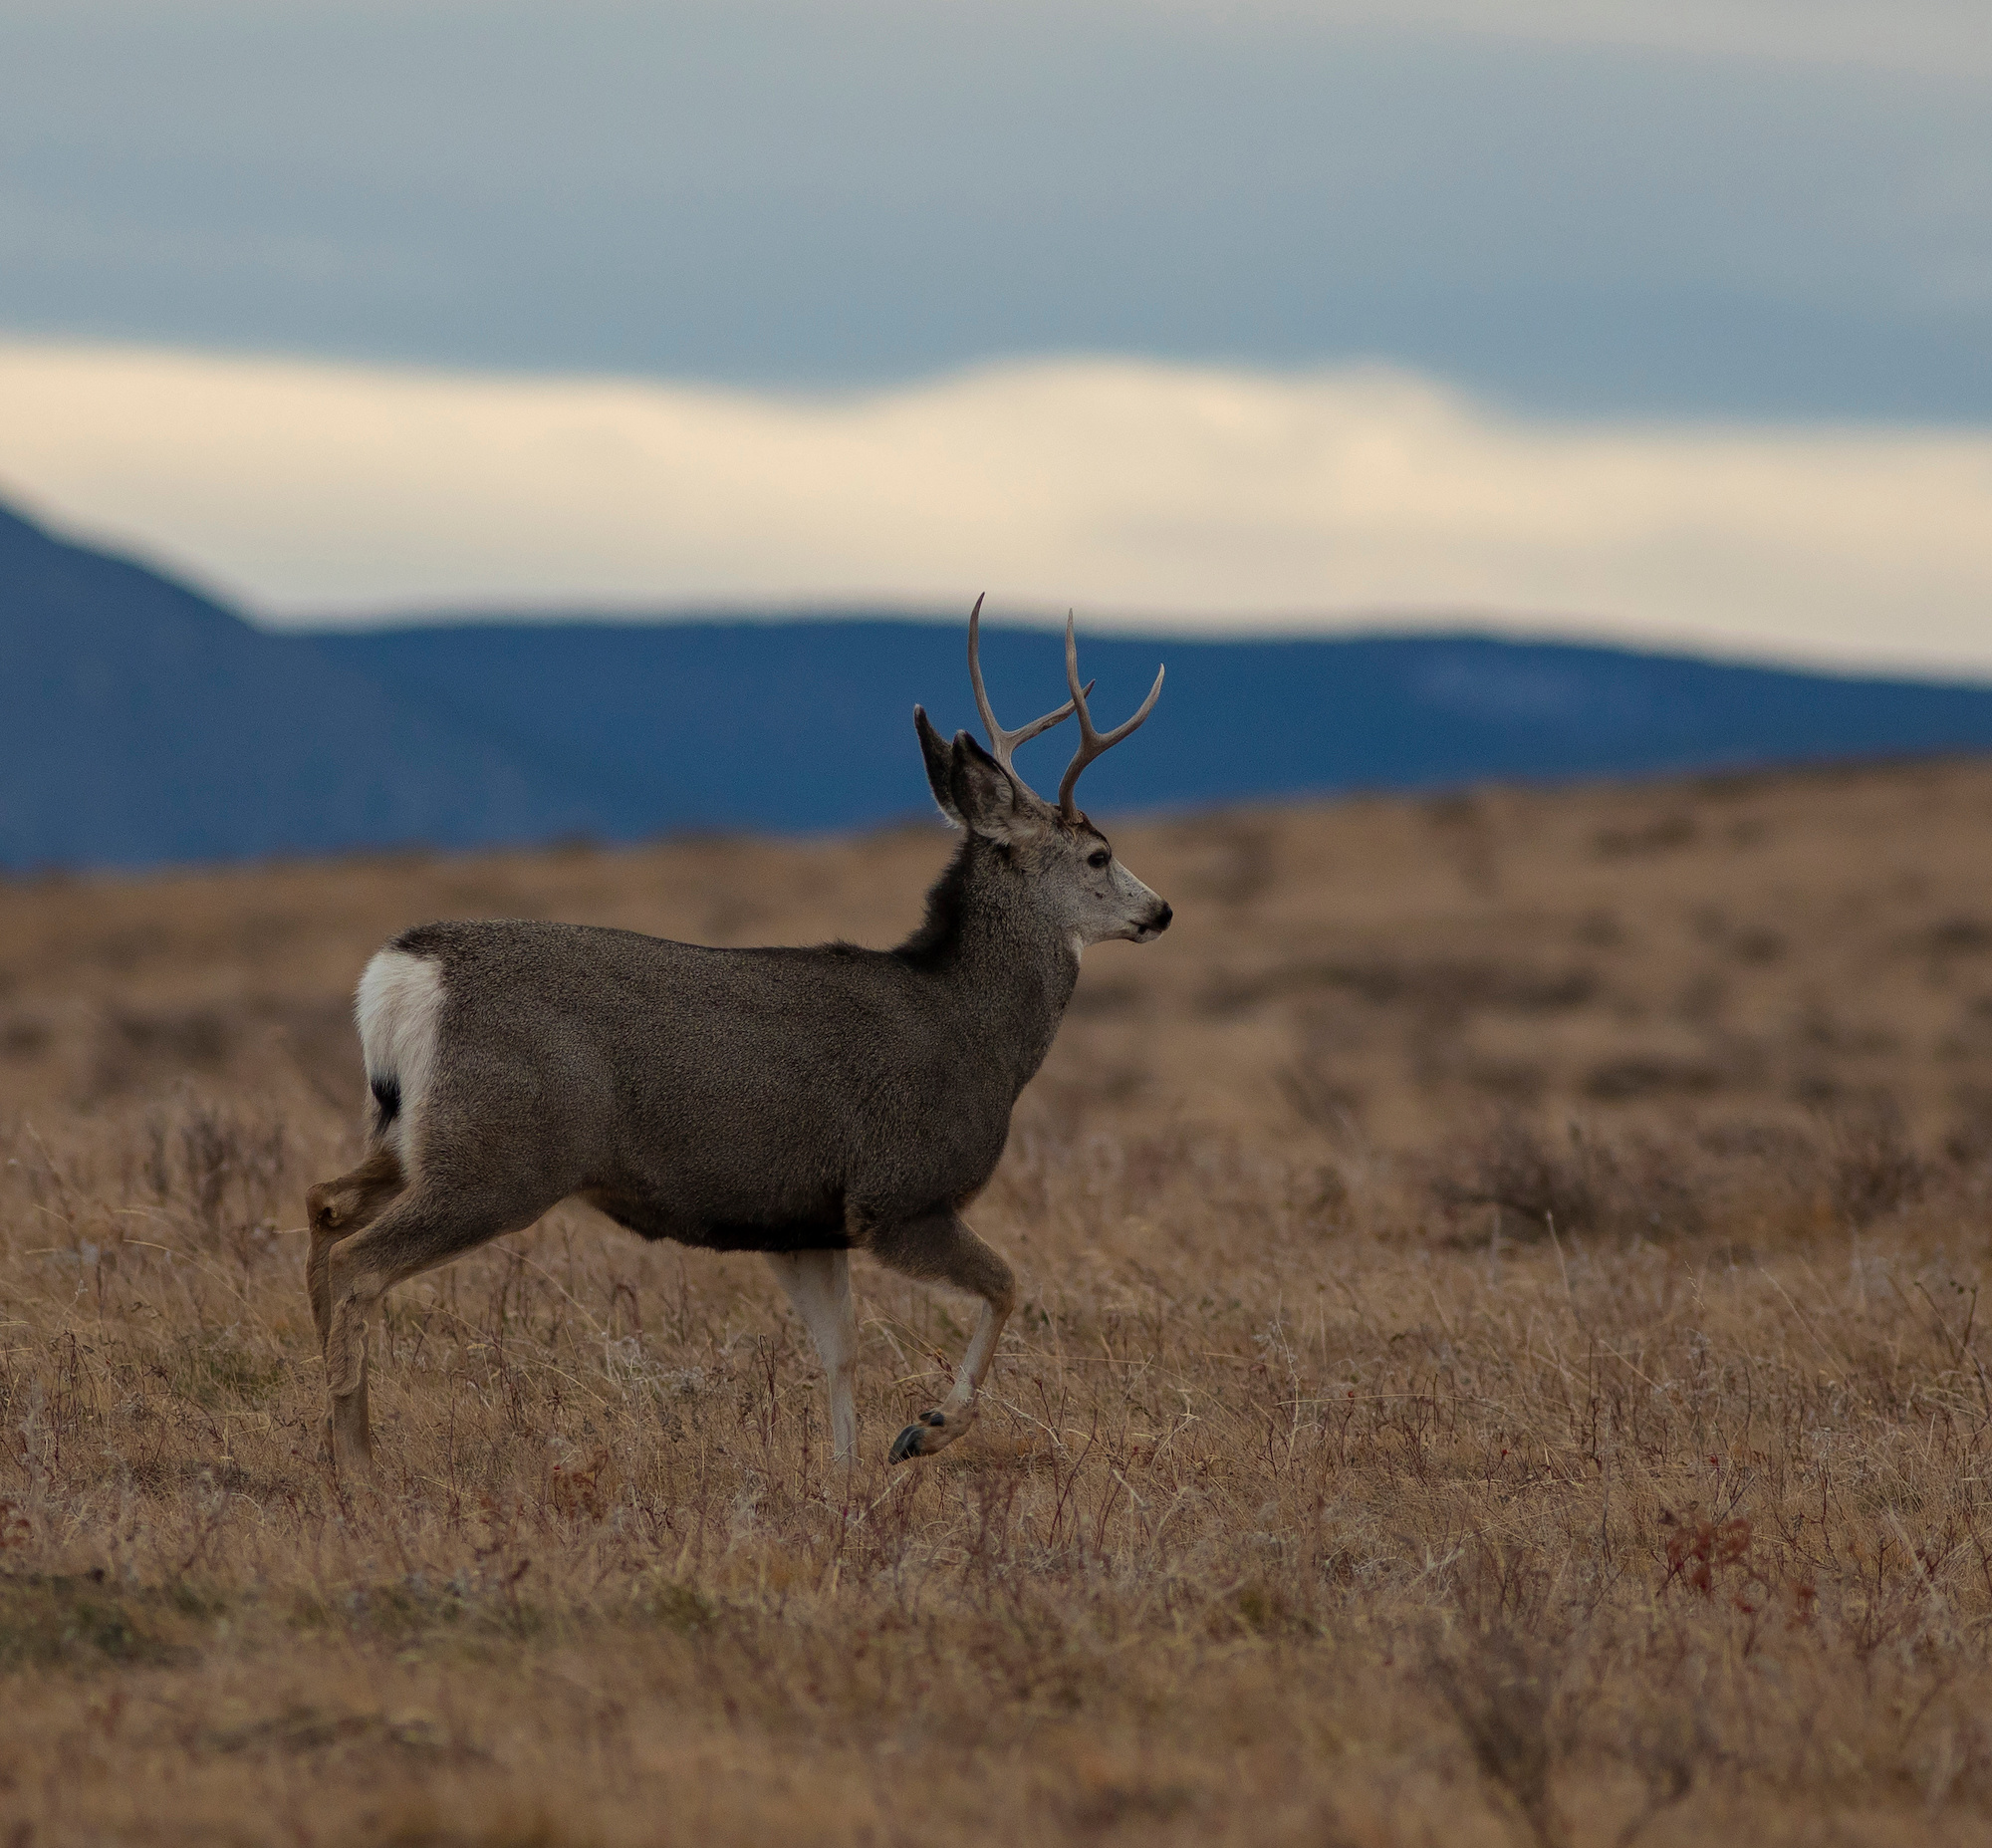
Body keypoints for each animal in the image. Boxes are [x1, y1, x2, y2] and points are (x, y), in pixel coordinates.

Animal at [304, 600, 1171, 1480]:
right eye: (1098, 853)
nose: (1161, 910)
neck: (973, 1030)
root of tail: (402, 974)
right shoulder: (897, 1194)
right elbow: (1007, 1284)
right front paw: (924, 1429)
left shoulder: (803, 1219)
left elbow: (840, 1351)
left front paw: (845, 1478)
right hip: (500, 1155)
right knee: (358, 1263)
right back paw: (360, 1465)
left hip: (417, 1133)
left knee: (324, 1208)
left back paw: (336, 1440)